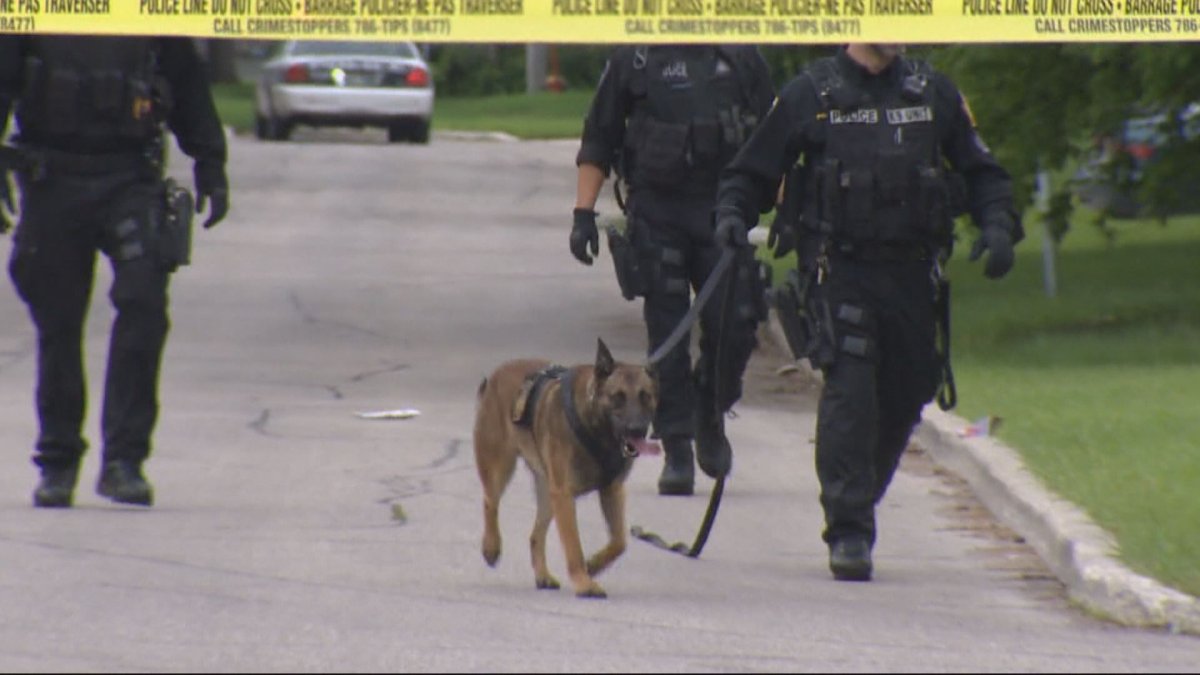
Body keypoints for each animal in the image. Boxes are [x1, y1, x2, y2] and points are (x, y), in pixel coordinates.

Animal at [470, 338, 657, 595]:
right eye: (617, 396)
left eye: (645, 396)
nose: (637, 429)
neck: (596, 430)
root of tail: (495, 376)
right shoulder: (565, 496)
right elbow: (574, 546)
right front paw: (584, 582)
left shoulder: (612, 491)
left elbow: (619, 542)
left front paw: (593, 565)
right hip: (501, 467)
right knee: (490, 501)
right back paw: (491, 546)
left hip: (549, 494)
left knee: (535, 536)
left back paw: (543, 575)